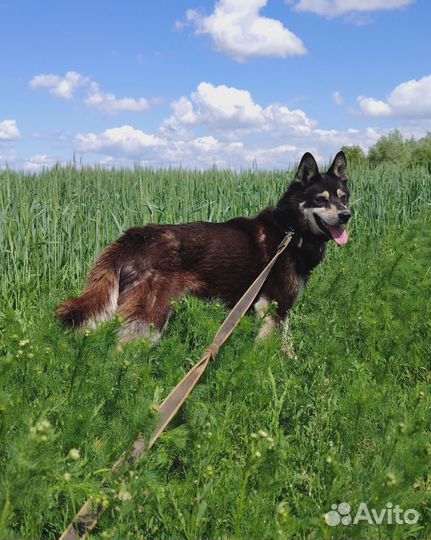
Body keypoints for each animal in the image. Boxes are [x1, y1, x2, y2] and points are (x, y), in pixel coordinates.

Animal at [57, 151, 352, 346]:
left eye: (343, 197)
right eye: (321, 199)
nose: (346, 215)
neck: (290, 231)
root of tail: (133, 236)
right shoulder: (274, 308)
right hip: (150, 318)